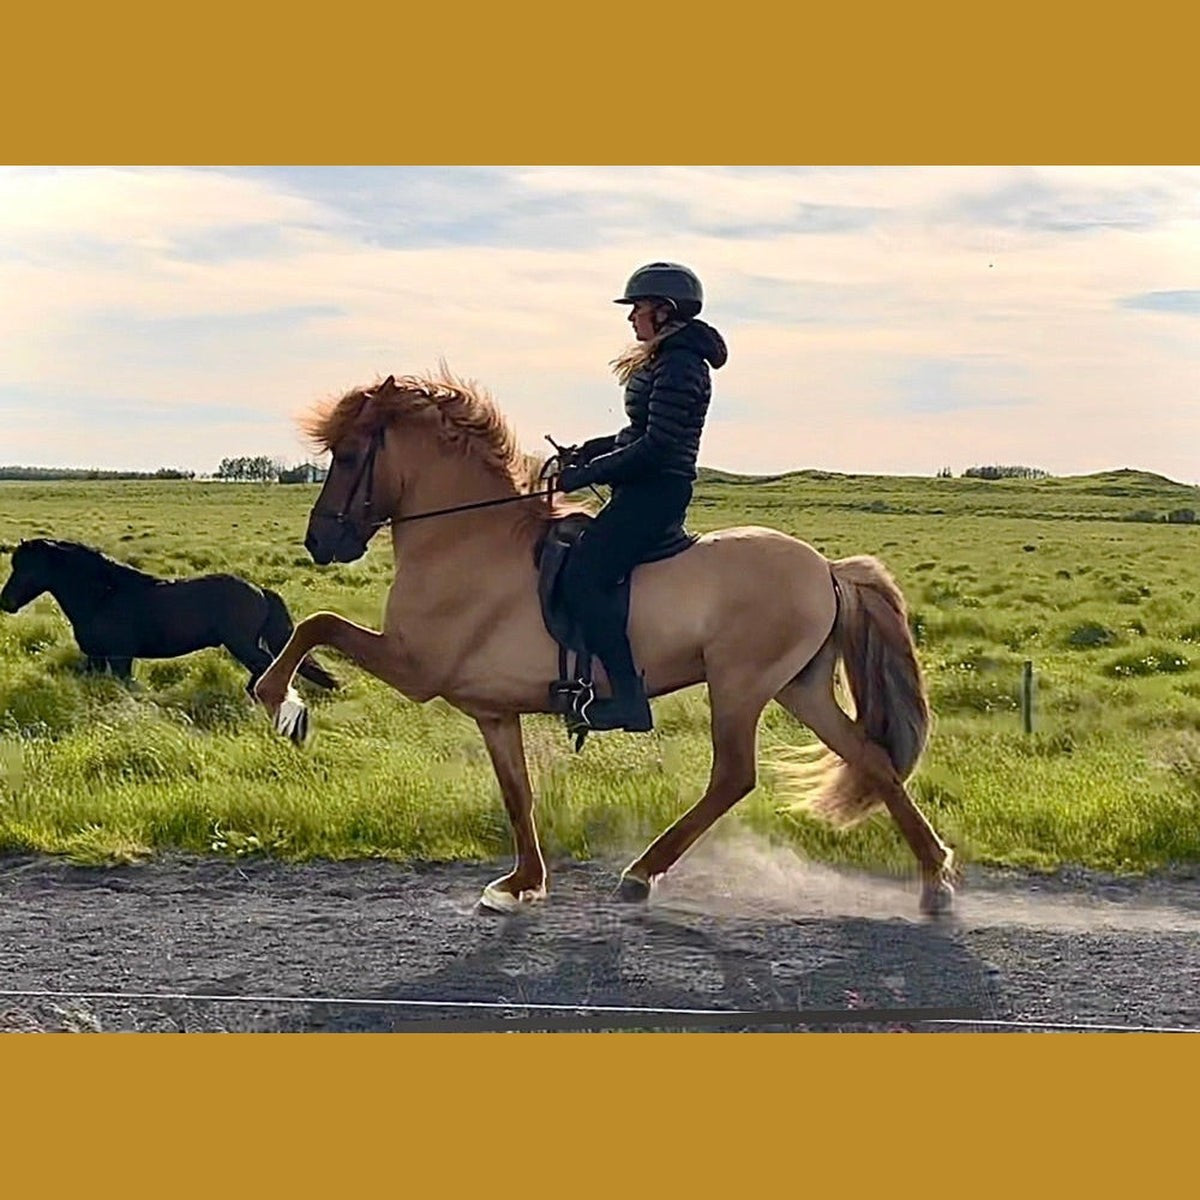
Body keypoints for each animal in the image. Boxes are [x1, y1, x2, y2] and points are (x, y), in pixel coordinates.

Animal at [1, 537, 338, 696]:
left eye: (28, 567)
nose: (6, 602)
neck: (103, 596)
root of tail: (259, 590)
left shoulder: (120, 657)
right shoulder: (96, 656)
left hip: (240, 643)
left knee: (263, 663)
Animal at [253, 369, 955, 912]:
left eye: (349, 455)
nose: (320, 541)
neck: (466, 541)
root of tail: (827, 568)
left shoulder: (414, 667)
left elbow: (318, 623)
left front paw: (284, 705)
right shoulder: (491, 710)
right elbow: (517, 794)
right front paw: (522, 884)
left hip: (741, 686)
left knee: (733, 776)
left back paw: (641, 874)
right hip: (797, 687)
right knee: (870, 758)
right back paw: (934, 880)